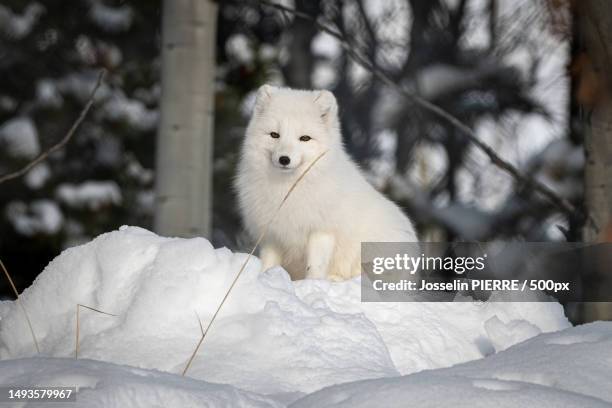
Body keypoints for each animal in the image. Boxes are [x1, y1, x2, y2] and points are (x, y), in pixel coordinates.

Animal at [234, 84, 416, 278]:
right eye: (274, 135)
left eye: (304, 138)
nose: (284, 159)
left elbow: (315, 266)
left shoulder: (322, 231)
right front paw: (264, 277)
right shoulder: (272, 234)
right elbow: (268, 263)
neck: (288, 189)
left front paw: (312, 283)